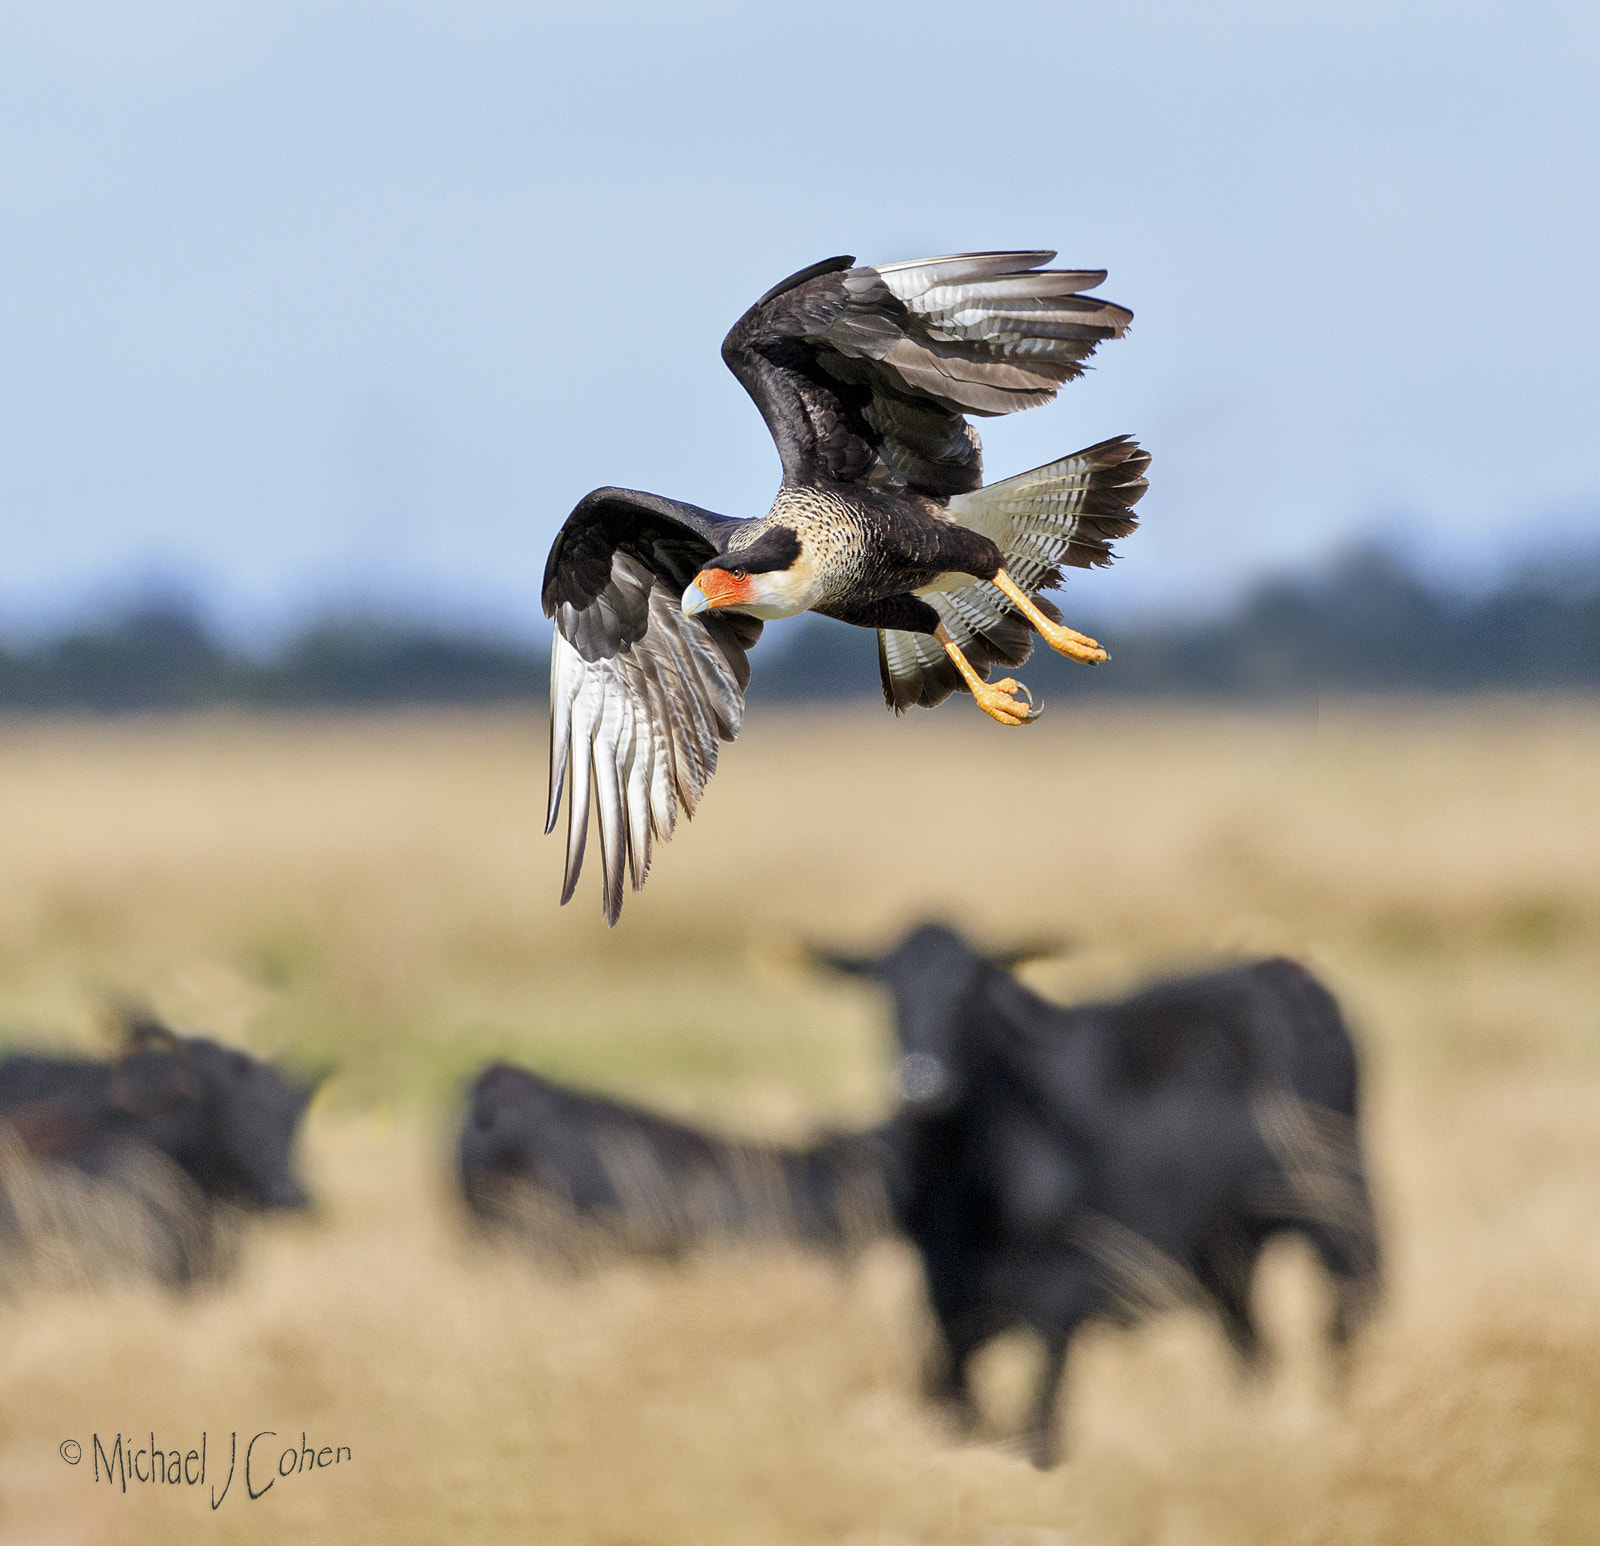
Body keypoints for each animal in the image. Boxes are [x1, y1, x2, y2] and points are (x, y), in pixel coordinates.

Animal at [819, 924, 1381, 1468]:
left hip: (1336, 1209)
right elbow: (957, 1409)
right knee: (1253, 1346)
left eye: (970, 989)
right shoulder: (945, 1302)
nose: (922, 1082)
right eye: (888, 993)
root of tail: (1285, 973)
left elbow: (1040, 1422)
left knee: (1345, 1315)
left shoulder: (1061, 1295)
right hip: (1224, 1252)